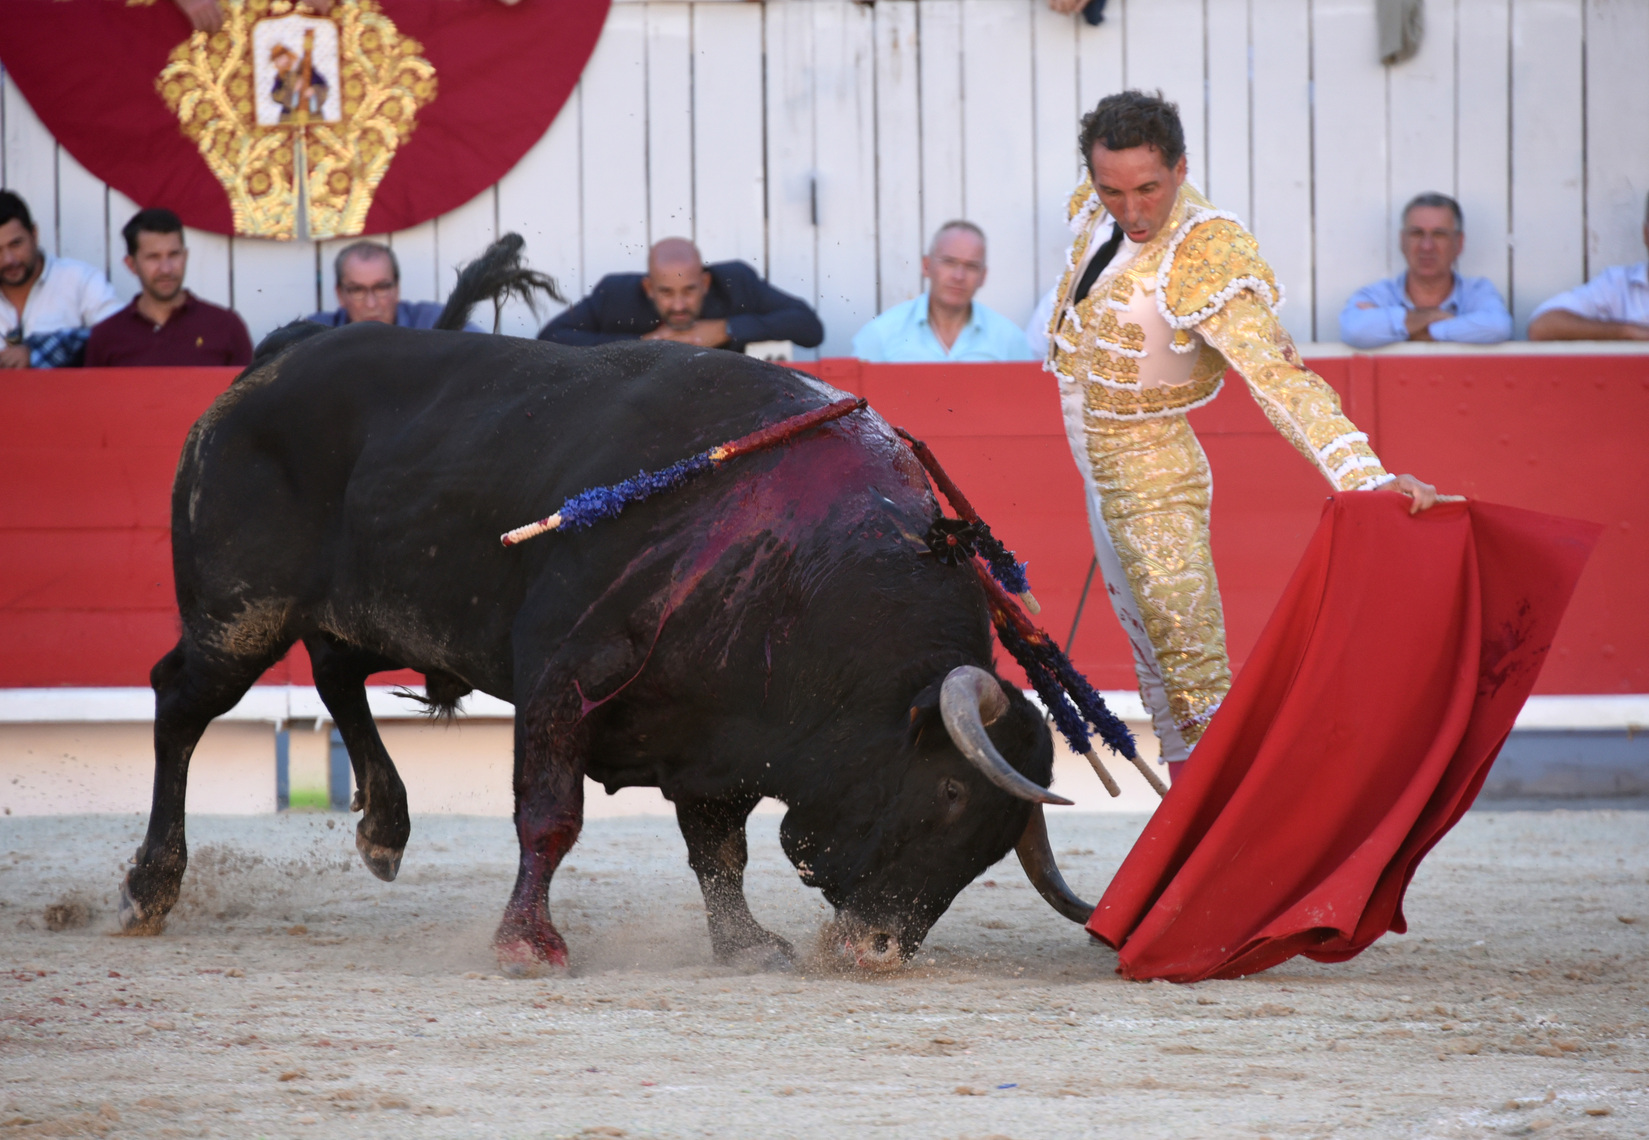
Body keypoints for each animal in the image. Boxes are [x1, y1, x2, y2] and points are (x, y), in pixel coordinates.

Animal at [119, 240, 1094, 970]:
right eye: (949, 793)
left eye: (996, 843)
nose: (879, 949)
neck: (799, 567)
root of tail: (274, 358)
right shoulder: (562, 674)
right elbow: (550, 817)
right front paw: (528, 946)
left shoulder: (717, 735)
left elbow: (719, 849)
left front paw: (745, 945)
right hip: (239, 616)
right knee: (181, 701)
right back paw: (149, 889)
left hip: (368, 608)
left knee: (335, 673)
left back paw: (384, 831)